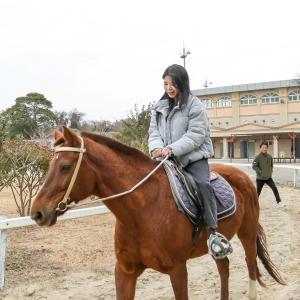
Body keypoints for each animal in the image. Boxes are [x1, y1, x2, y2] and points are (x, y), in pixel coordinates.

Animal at [31, 127, 286, 300]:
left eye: (65, 166)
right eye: (50, 165)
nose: (37, 212)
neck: (142, 212)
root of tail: (242, 176)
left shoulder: (178, 270)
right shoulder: (124, 271)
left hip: (247, 234)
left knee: (250, 266)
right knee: (224, 268)